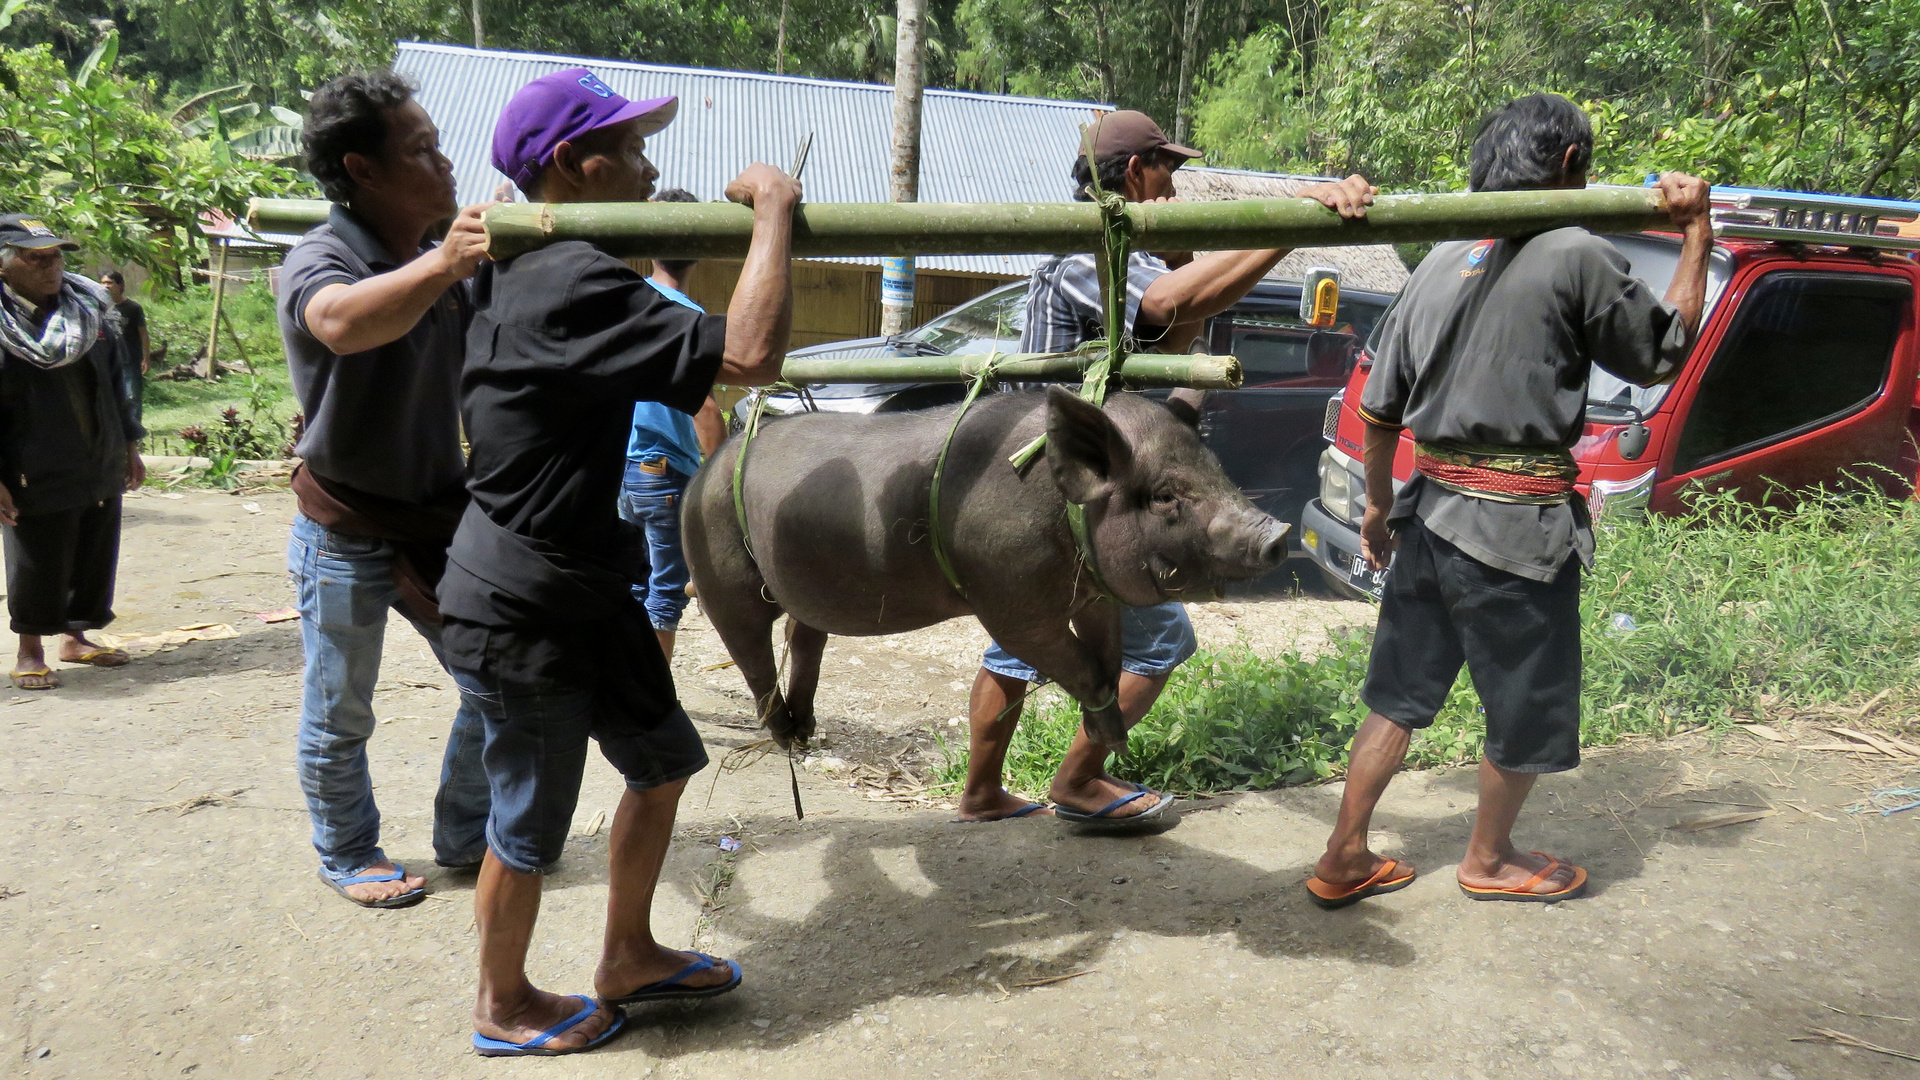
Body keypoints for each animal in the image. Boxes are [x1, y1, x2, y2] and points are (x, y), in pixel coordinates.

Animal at [683, 384, 1297, 749]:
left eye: (1218, 468)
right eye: (1166, 495)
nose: (1279, 533)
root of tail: (708, 468)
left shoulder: (1095, 592)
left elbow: (1107, 651)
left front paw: (1110, 738)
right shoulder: (1006, 597)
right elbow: (1076, 664)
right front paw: (1112, 739)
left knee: (803, 634)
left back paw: (806, 730)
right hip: (716, 560)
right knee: (750, 647)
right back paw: (784, 734)